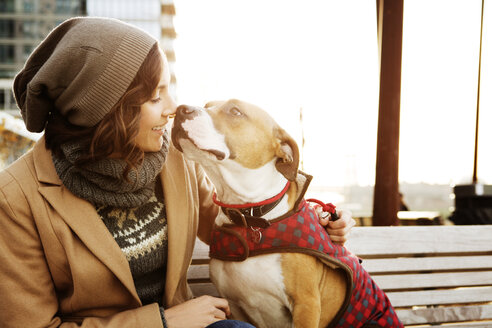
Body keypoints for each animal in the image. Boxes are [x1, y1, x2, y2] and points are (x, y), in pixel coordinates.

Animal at [171, 100, 402, 328]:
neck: (250, 215)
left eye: (235, 111)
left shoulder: (306, 304)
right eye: (206, 105)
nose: (181, 109)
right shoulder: (235, 306)